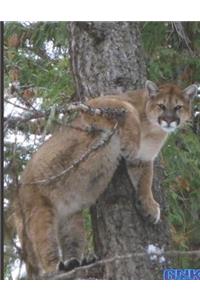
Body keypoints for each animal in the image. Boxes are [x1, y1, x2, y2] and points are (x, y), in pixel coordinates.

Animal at [14, 81, 198, 278]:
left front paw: (149, 207)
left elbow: (145, 182)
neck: (153, 129)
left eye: (178, 107)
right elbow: (129, 110)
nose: (169, 120)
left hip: (71, 219)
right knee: (45, 248)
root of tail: (19, 186)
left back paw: (76, 263)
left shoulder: (143, 159)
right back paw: (57, 268)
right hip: (40, 210)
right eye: (161, 106)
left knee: (72, 239)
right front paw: (131, 142)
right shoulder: (94, 105)